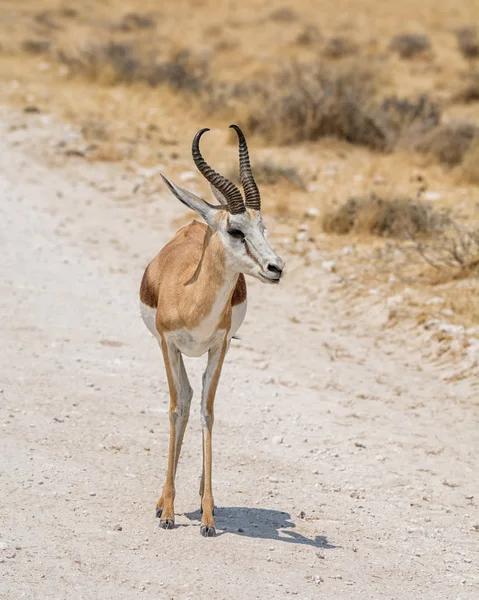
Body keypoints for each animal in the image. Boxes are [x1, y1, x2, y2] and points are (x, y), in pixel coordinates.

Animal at [139, 124, 284, 536]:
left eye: (262, 227)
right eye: (235, 230)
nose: (276, 267)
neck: (193, 302)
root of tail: (195, 222)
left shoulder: (219, 348)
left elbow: (208, 410)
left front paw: (206, 517)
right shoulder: (168, 345)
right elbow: (177, 408)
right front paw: (168, 513)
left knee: (198, 401)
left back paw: (207, 499)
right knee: (185, 401)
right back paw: (163, 502)